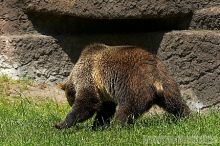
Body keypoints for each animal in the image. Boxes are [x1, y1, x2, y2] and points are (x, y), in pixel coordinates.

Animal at [54, 42, 190, 129]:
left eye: (69, 98)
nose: (70, 103)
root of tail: (154, 76)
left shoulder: (88, 76)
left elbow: (88, 102)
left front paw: (61, 124)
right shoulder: (105, 92)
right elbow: (106, 109)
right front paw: (97, 126)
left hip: (133, 85)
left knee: (127, 108)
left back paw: (117, 126)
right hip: (167, 83)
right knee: (175, 103)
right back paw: (186, 117)